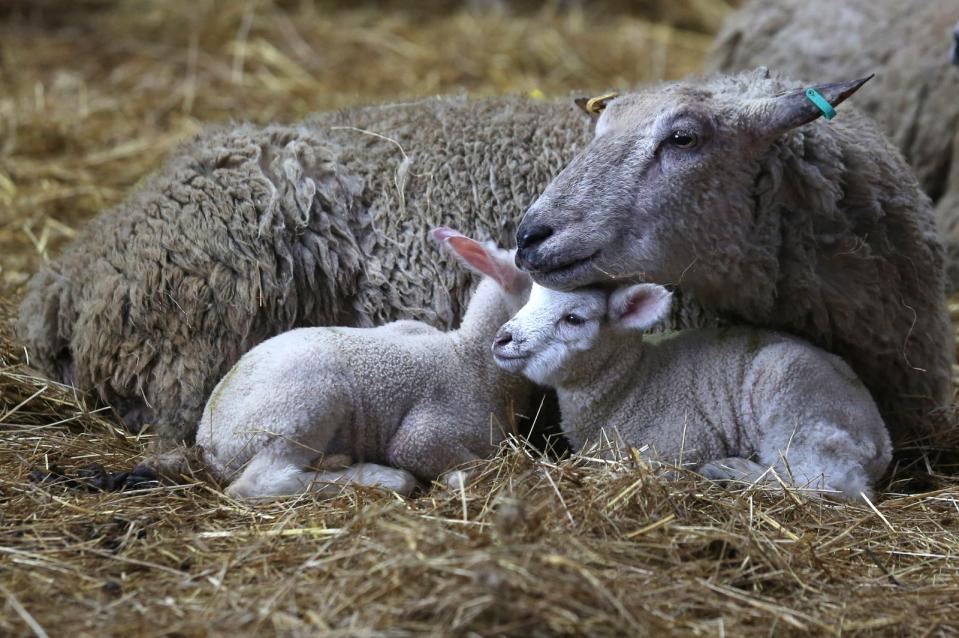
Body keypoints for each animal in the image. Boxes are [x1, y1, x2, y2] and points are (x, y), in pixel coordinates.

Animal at [198, 228, 536, 502]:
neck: (471, 360)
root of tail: (206, 438)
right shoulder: (426, 434)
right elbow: (438, 455)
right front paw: (456, 477)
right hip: (302, 406)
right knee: (258, 482)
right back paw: (381, 477)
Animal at [492, 284, 896, 500]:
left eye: (573, 318)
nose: (501, 339)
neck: (631, 386)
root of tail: (881, 438)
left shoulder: (676, 449)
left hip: (796, 399)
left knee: (827, 480)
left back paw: (731, 470)